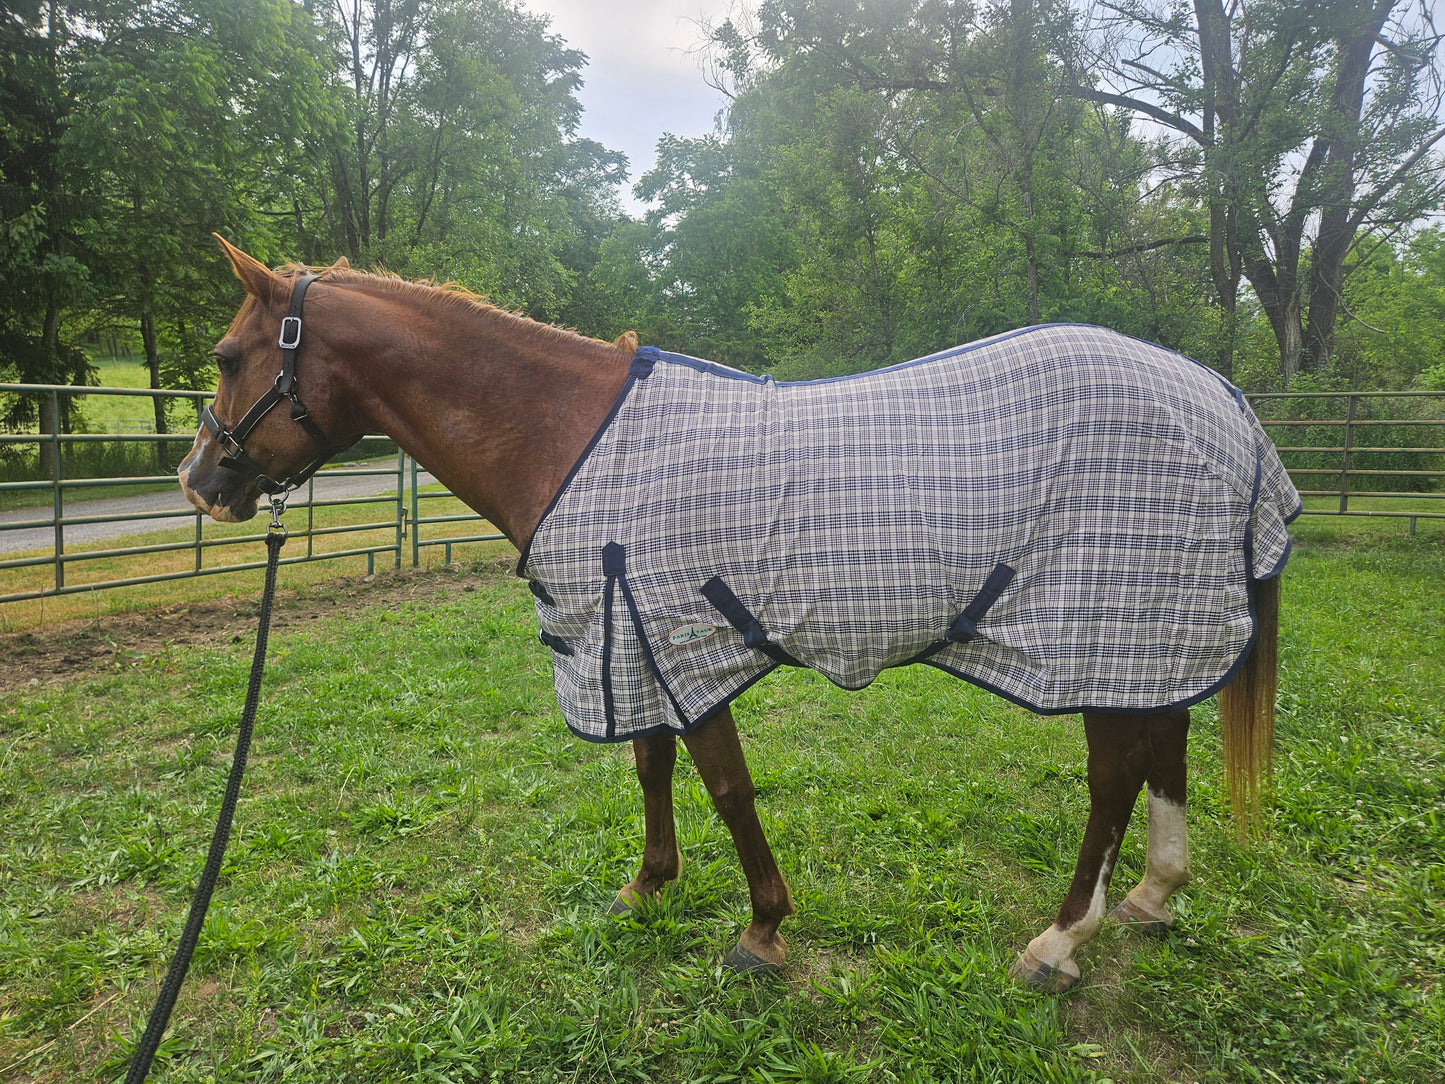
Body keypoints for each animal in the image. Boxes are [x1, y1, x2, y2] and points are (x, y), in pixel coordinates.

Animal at [179, 237, 1298, 992]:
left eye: (228, 356)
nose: (200, 482)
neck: (566, 433)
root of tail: (1221, 398)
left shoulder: (676, 633)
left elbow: (723, 783)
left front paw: (761, 929)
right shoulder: (635, 633)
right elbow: (651, 765)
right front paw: (648, 885)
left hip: (1098, 629)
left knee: (1114, 777)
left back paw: (1060, 940)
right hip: (1148, 635)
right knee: (1166, 745)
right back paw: (1152, 897)